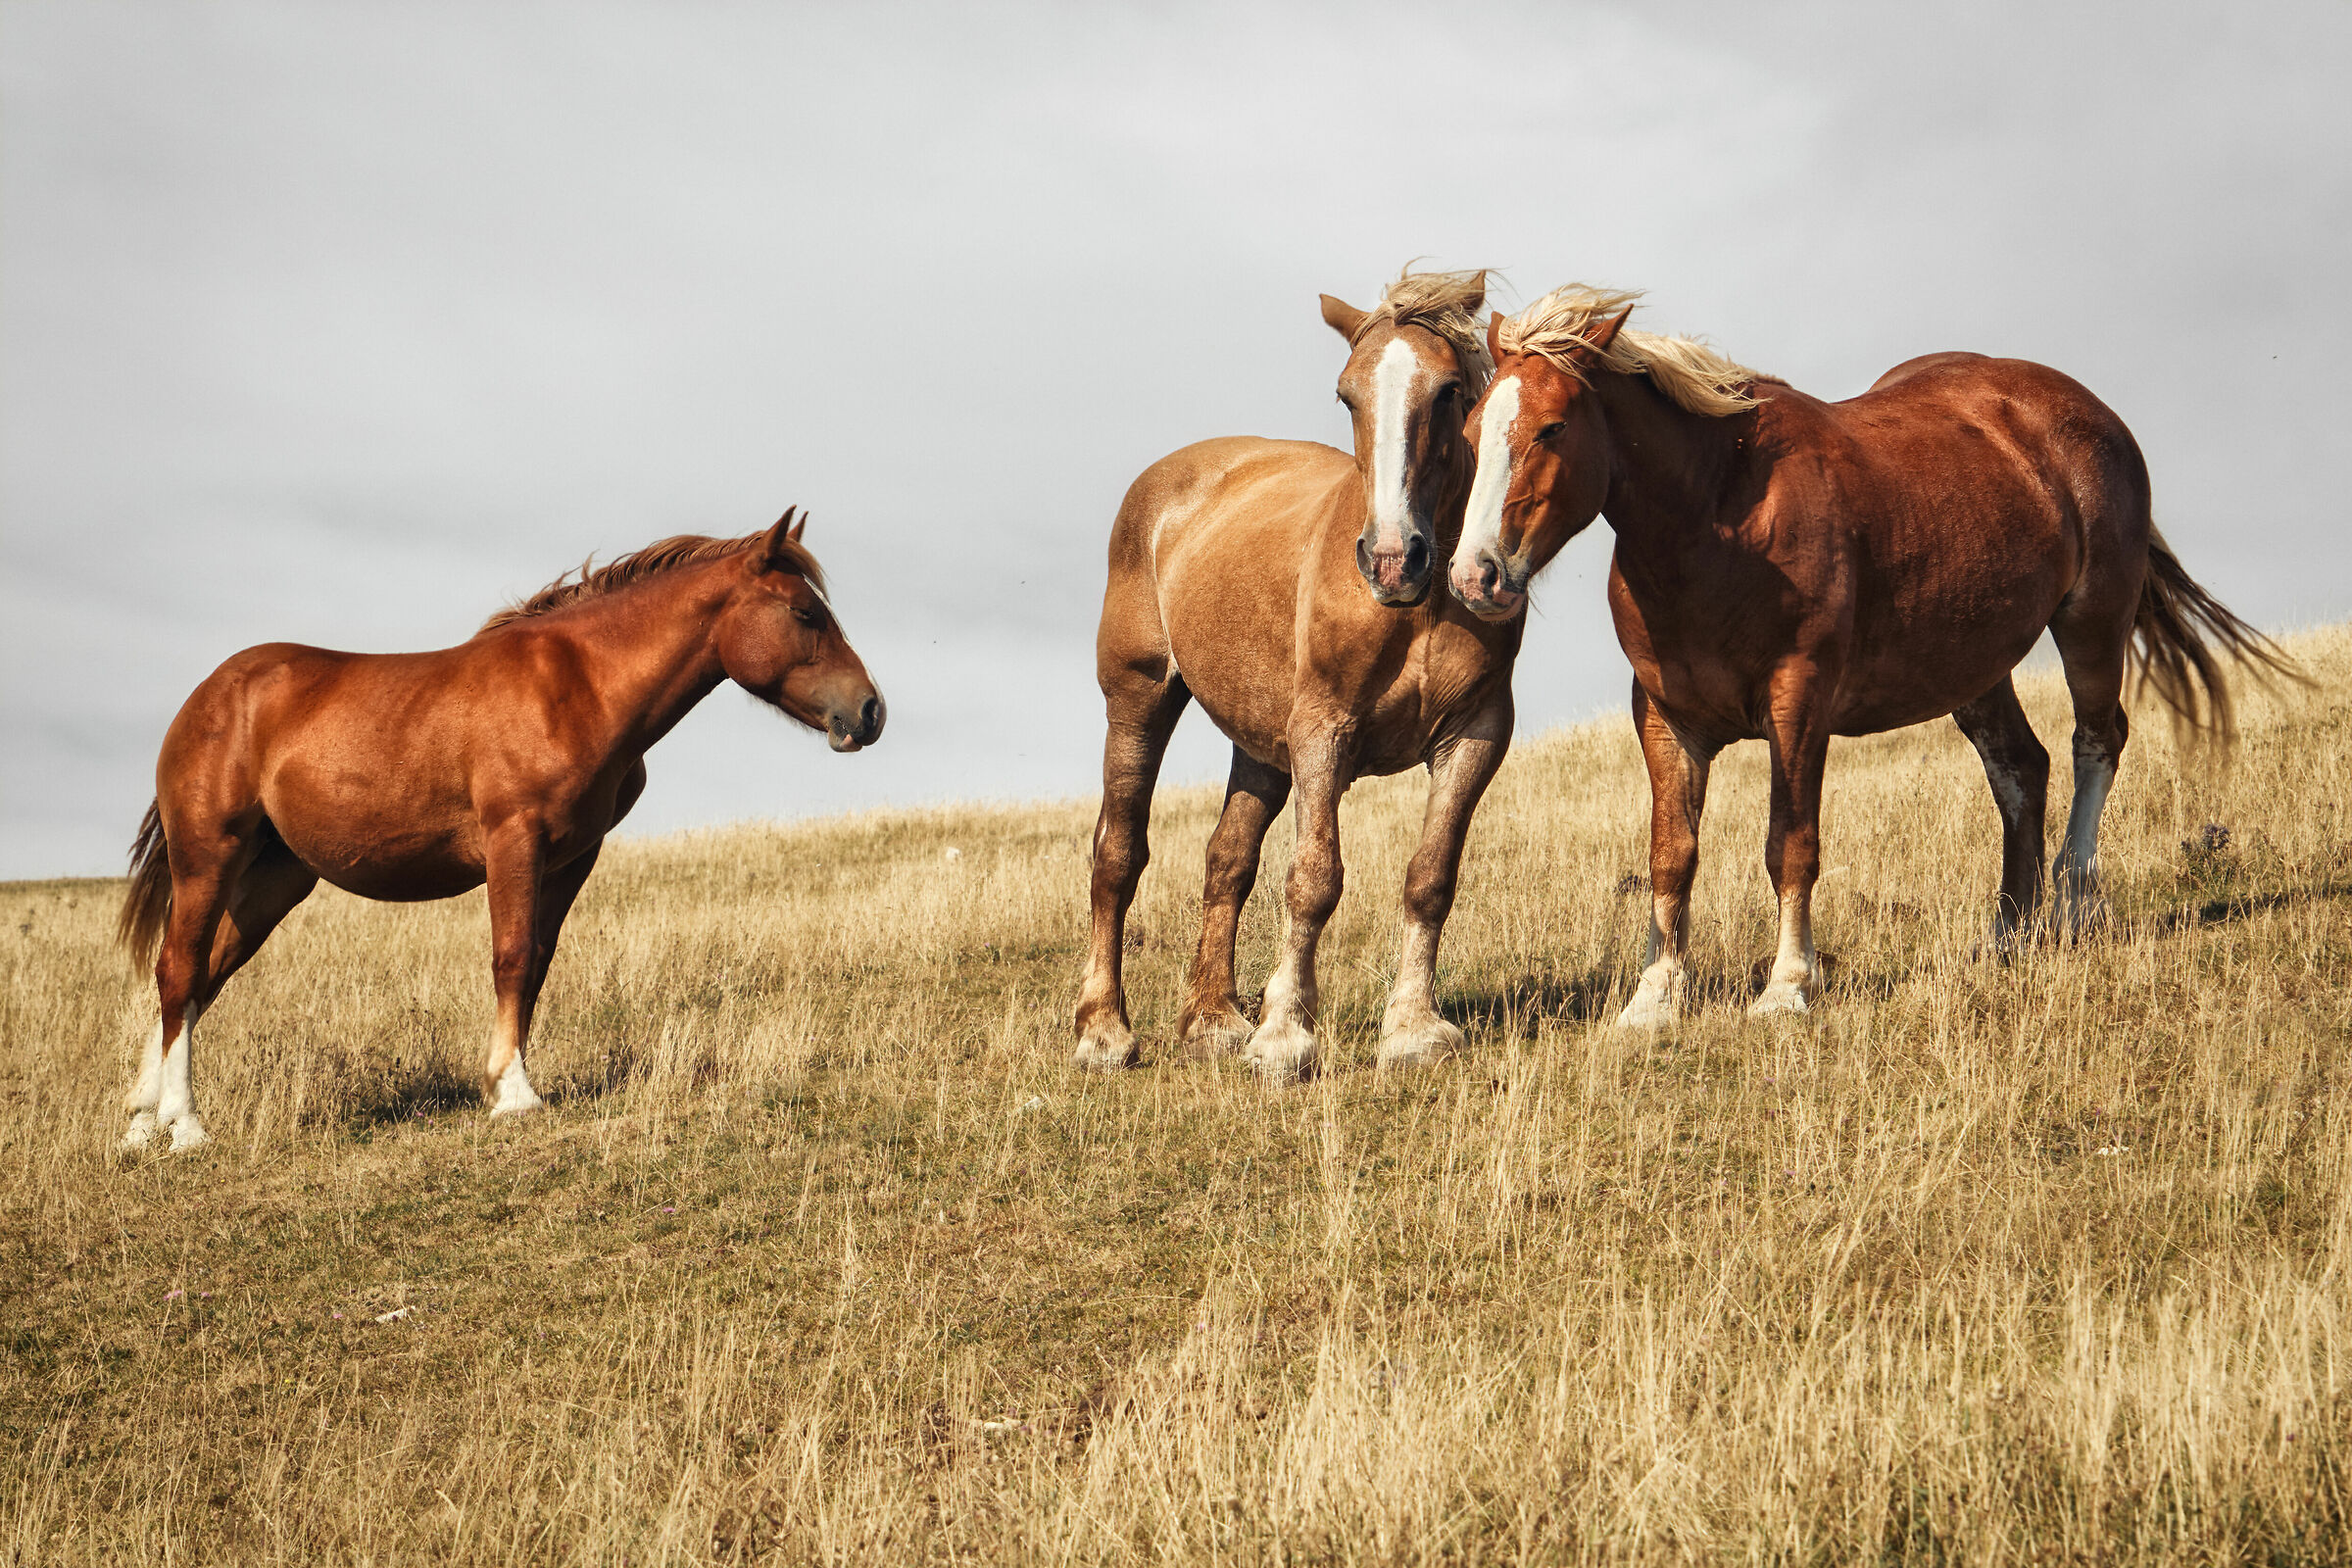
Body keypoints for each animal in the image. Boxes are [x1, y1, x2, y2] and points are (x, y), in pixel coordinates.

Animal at [115, 509, 883, 1151]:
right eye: (805, 612)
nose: (870, 711)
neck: (580, 685)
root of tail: (210, 695)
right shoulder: (515, 841)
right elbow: (510, 956)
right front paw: (513, 1093)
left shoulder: (573, 857)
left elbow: (537, 960)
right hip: (208, 859)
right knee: (179, 969)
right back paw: (183, 1126)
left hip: (277, 878)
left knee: (200, 978)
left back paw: (143, 1121)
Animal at [1074, 268, 1520, 1080]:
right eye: (1347, 395)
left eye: (1448, 391)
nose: (1391, 558)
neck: (1416, 608)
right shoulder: (1323, 732)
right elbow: (1313, 879)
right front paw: (1285, 1036)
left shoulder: (1475, 735)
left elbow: (1431, 876)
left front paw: (1413, 1028)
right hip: (1139, 699)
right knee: (1116, 854)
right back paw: (1103, 1030)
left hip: (1260, 744)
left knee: (1227, 859)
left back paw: (1212, 1019)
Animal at [1447, 286, 2296, 1027]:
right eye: (1471, 434)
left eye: (1552, 428)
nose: (1474, 576)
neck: (1720, 518)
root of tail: (2087, 413)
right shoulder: (1665, 718)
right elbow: (1672, 855)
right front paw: (1653, 1001)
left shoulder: (1799, 703)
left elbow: (1789, 845)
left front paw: (1788, 987)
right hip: (1973, 667)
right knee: (2022, 770)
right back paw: (2008, 936)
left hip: (2093, 621)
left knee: (2098, 741)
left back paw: (2076, 901)